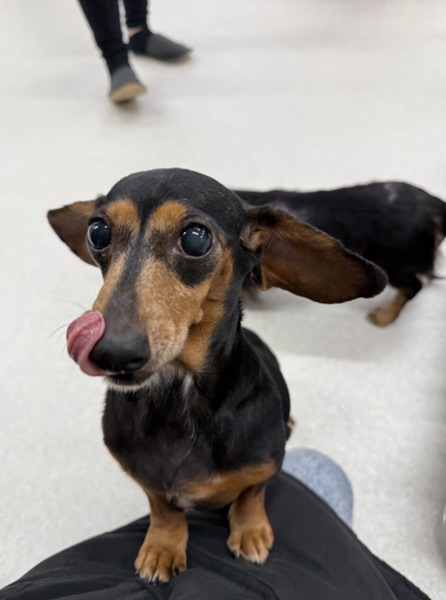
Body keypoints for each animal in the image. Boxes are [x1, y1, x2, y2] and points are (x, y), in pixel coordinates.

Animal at [47, 168, 386, 583]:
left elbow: (251, 495)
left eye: (196, 238)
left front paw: (251, 531)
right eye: (98, 232)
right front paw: (163, 545)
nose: (112, 352)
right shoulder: (146, 479)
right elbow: (164, 509)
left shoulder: (267, 466)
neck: (179, 401)